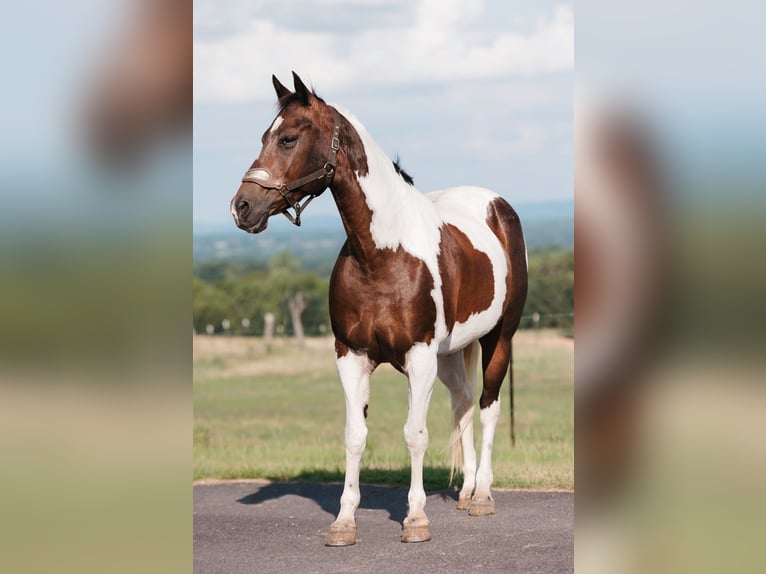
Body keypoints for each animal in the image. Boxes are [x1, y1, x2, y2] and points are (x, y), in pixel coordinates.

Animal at [228, 74, 528, 548]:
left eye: (289, 137)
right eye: (264, 137)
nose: (242, 207)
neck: (381, 253)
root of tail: (497, 206)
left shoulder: (419, 358)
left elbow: (415, 435)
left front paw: (416, 519)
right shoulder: (351, 355)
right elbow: (355, 436)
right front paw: (343, 522)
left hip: (499, 338)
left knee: (487, 407)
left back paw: (481, 495)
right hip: (450, 355)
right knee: (462, 403)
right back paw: (464, 493)